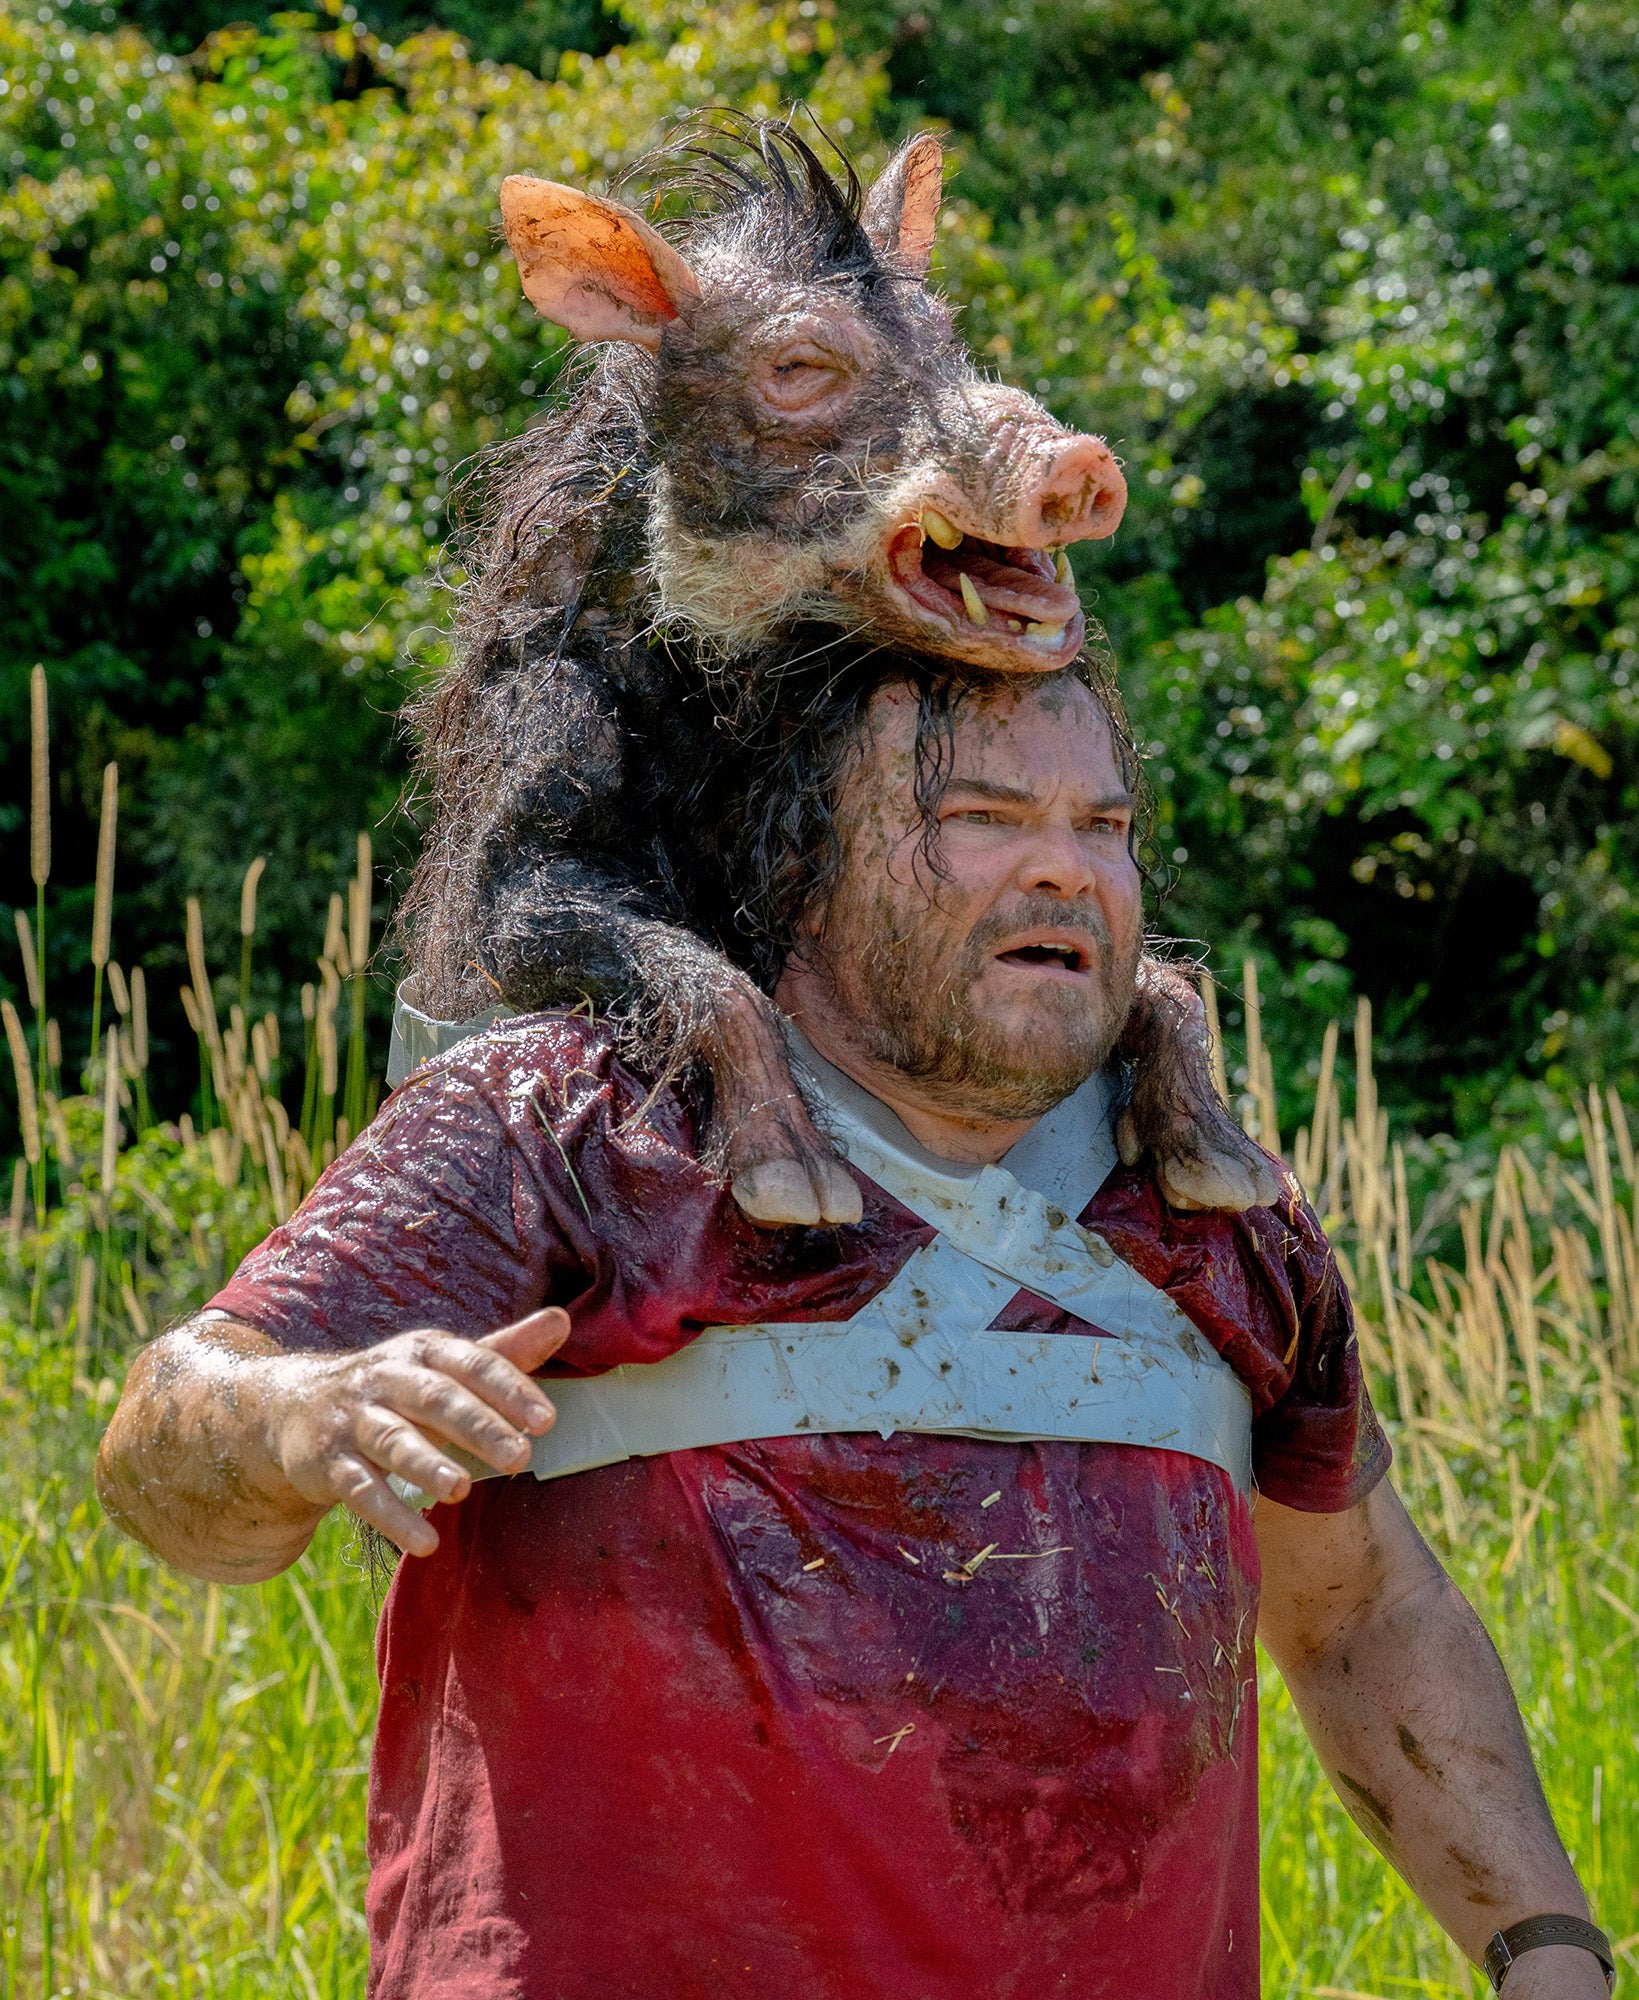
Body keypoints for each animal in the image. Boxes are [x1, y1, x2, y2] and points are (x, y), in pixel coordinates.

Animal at [398, 116, 1282, 1224]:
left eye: (947, 334)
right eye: (799, 365)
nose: (1077, 459)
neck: (730, 701)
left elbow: (1163, 980)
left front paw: (1232, 1179)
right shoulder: (532, 777)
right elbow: (693, 967)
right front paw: (798, 1194)